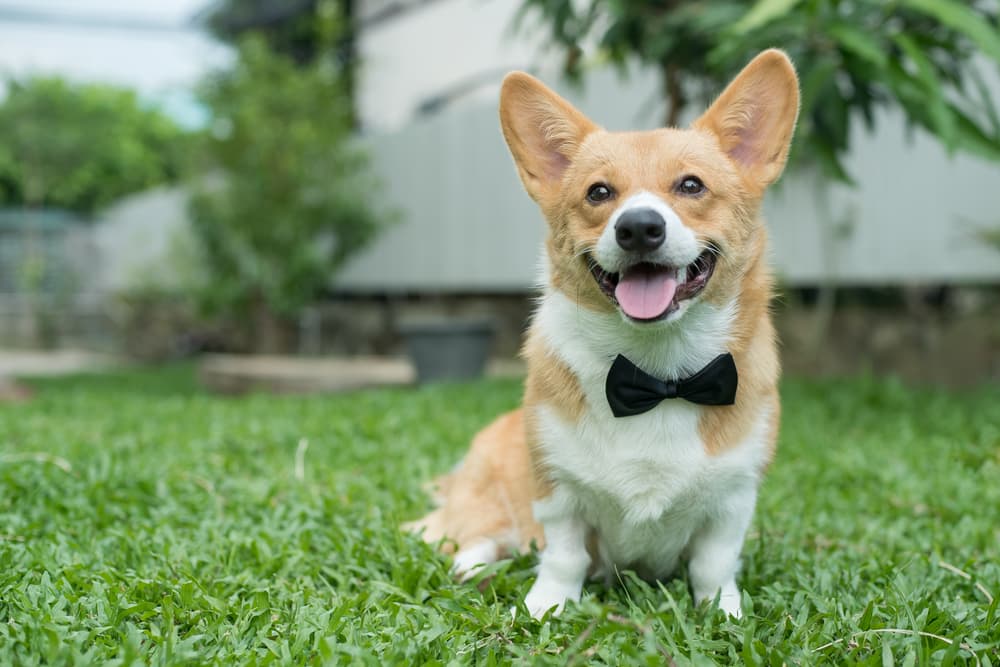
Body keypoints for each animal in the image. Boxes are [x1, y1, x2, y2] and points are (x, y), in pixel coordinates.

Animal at [402, 48, 800, 620]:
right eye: (599, 192)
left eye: (692, 185)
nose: (638, 228)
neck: (657, 371)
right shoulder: (557, 490)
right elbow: (564, 555)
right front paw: (546, 607)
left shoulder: (733, 498)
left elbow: (714, 564)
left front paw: (723, 615)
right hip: (487, 503)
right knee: (475, 534)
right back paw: (472, 568)